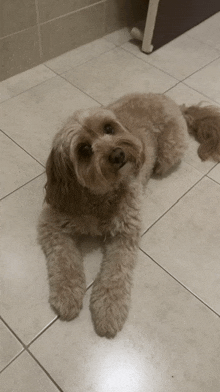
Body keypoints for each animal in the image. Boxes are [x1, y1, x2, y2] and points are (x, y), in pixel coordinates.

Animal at [37, 92, 220, 336]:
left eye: (109, 128)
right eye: (84, 149)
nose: (118, 153)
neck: (99, 196)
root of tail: (171, 101)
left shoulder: (125, 233)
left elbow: (115, 273)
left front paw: (108, 309)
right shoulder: (52, 224)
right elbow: (64, 260)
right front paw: (67, 294)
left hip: (170, 151)